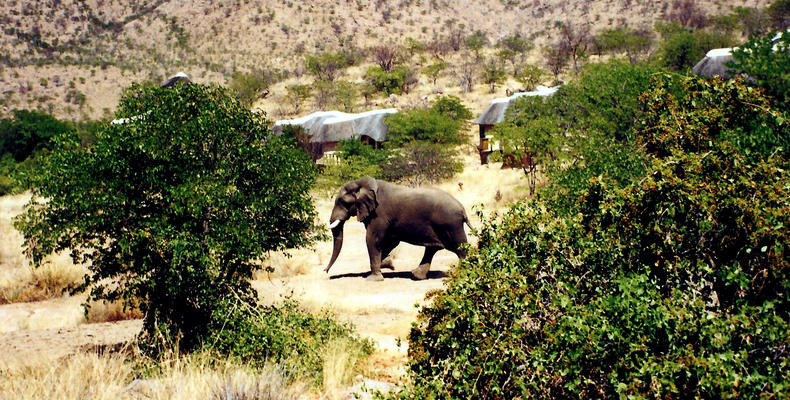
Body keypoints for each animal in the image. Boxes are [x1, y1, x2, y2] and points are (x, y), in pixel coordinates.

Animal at [326, 177, 474, 282]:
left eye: (342, 202)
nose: (325, 272)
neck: (363, 183)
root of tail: (463, 209)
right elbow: (390, 242)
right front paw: (389, 264)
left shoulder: (379, 214)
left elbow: (372, 239)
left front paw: (373, 279)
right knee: (433, 248)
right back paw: (416, 275)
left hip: (450, 225)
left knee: (460, 249)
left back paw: (464, 274)